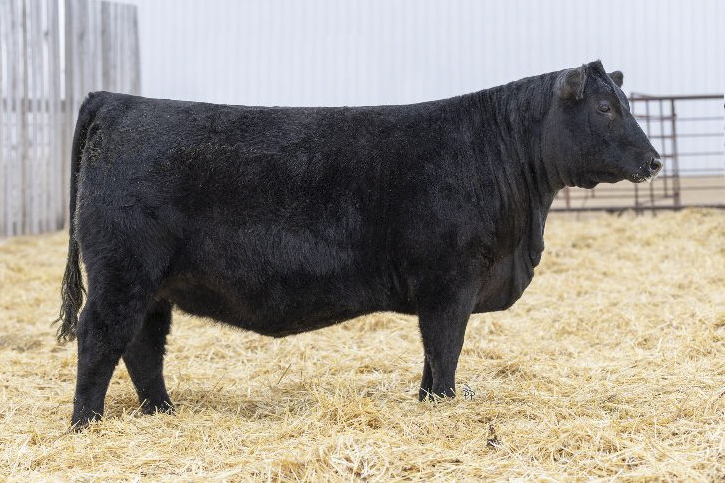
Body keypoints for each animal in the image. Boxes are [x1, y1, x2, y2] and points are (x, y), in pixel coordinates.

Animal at [56, 60, 661, 429]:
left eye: (626, 103)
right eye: (606, 108)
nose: (655, 161)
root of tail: (116, 101)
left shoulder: (443, 288)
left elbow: (431, 353)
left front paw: (426, 400)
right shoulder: (451, 281)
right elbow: (446, 346)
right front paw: (443, 404)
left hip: (154, 285)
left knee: (143, 345)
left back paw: (162, 412)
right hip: (122, 273)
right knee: (100, 335)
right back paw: (86, 422)